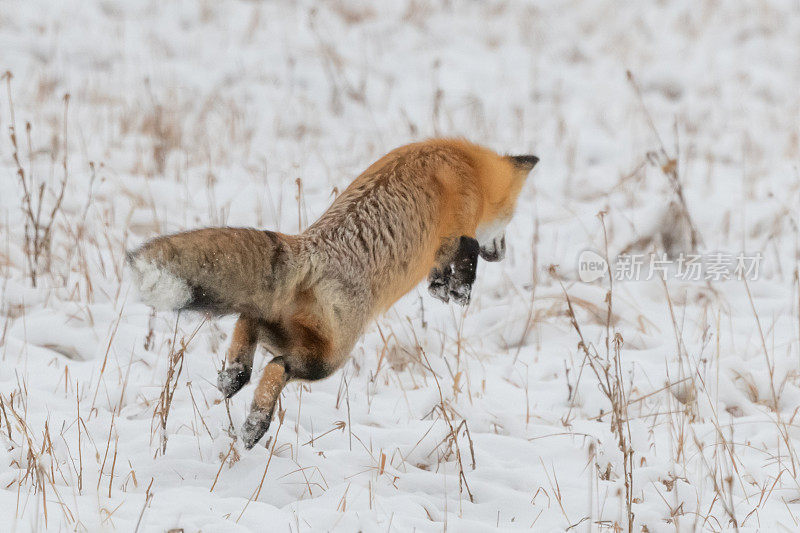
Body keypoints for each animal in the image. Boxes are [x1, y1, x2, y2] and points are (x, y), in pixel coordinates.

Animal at [128, 139, 536, 446]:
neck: (468, 166)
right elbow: (467, 254)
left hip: (283, 327)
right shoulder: (456, 233)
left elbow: (440, 275)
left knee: (248, 323)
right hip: (328, 359)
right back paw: (256, 425)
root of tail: (307, 248)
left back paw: (235, 377)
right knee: (278, 367)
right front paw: (461, 290)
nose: (502, 254)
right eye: (510, 219)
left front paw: (443, 290)